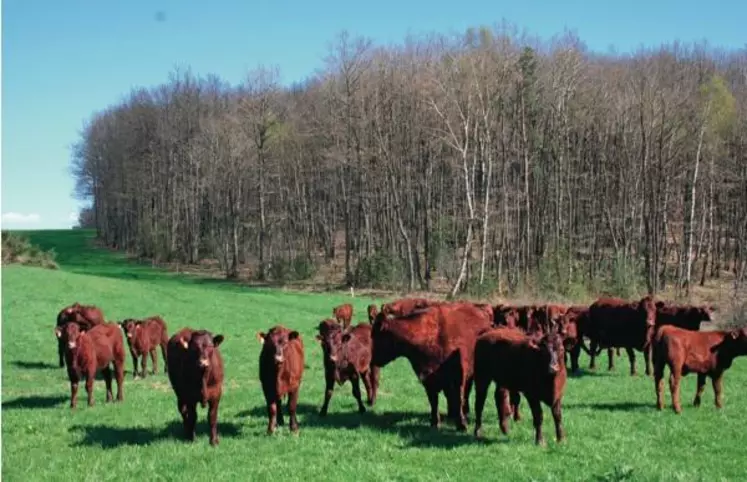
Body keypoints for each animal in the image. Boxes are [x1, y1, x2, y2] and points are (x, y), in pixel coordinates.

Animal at [372, 304, 494, 432]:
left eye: (377, 336)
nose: (374, 359)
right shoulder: (428, 378)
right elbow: (434, 401)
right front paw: (435, 423)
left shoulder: (457, 377)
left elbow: (458, 398)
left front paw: (461, 425)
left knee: (465, 393)